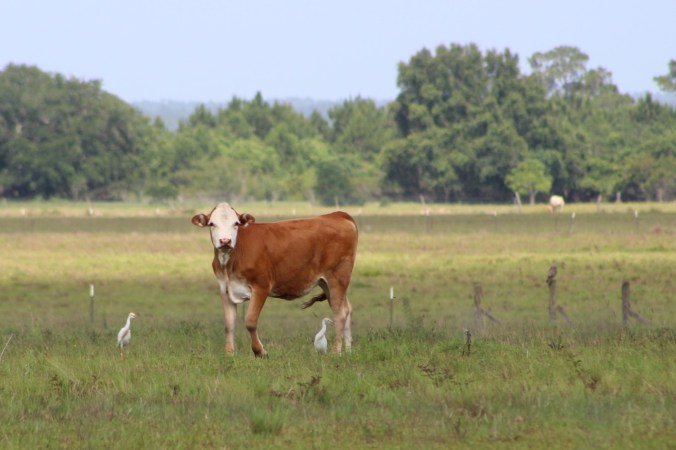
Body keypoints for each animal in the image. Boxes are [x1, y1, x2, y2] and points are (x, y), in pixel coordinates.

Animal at [191, 203, 358, 357]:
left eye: (236, 223)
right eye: (212, 223)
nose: (225, 241)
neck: (232, 260)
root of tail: (338, 215)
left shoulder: (261, 286)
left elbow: (250, 321)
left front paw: (260, 352)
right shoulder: (225, 289)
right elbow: (229, 324)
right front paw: (229, 354)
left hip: (338, 278)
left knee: (340, 313)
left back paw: (336, 352)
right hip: (326, 283)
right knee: (347, 308)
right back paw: (348, 350)